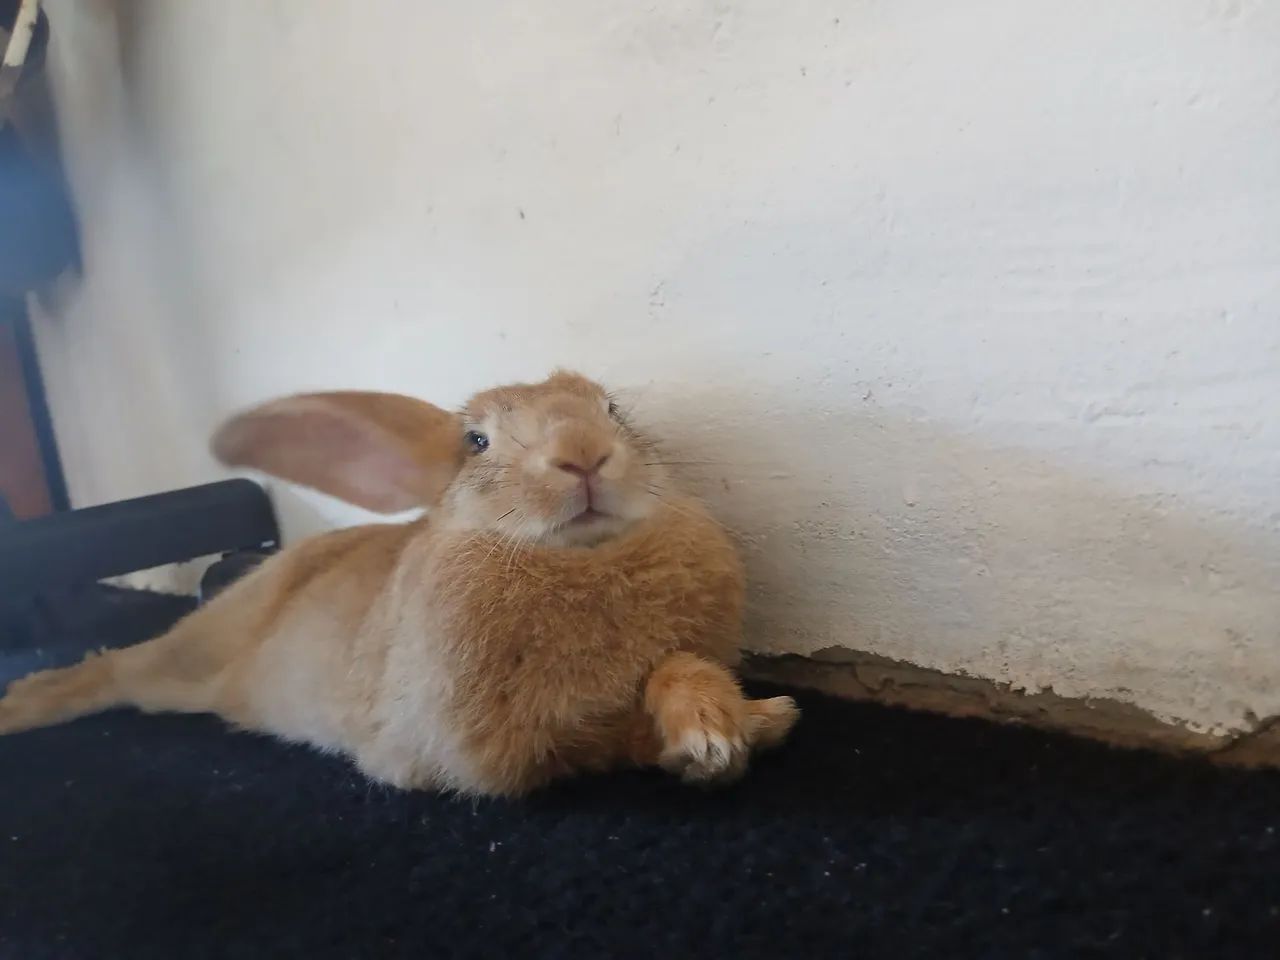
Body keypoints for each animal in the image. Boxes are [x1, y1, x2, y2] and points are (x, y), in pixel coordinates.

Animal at [0, 371, 798, 796]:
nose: (584, 455)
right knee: (115, 667)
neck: (580, 558)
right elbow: (607, 739)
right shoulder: (506, 749)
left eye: (613, 410)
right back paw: (23, 705)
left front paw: (734, 722)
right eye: (475, 441)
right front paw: (720, 739)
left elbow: (675, 668)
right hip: (186, 663)